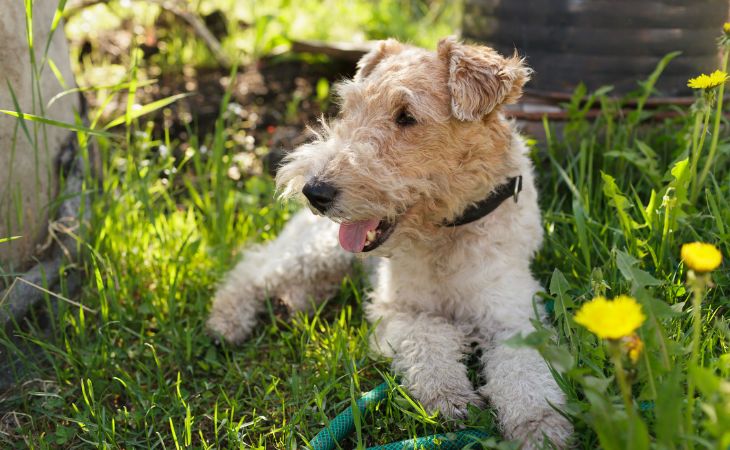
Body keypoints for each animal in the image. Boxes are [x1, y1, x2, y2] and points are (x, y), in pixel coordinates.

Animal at [206, 37, 576, 448]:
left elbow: (527, 378)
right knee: (253, 269)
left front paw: (541, 428)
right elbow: (428, 342)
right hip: (317, 251)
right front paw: (449, 398)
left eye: (406, 117)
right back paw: (226, 323)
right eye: (349, 108)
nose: (314, 191)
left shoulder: (515, 318)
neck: (447, 230)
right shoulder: (401, 309)